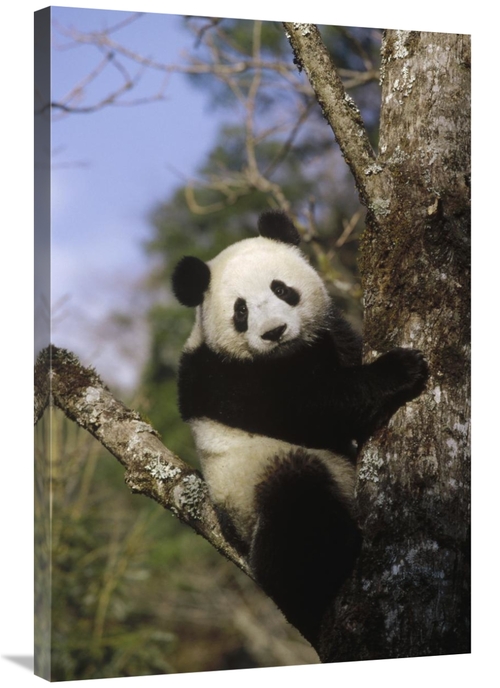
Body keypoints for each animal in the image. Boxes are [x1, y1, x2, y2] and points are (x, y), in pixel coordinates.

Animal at [172, 210, 428, 644]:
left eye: (281, 289)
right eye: (240, 311)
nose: (274, 332)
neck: (288, 357)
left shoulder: (327, 337)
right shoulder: (224, 378)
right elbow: (311, 407)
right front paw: (401, 370)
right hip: (253, 484)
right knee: (295, 507)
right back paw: (323, 582)